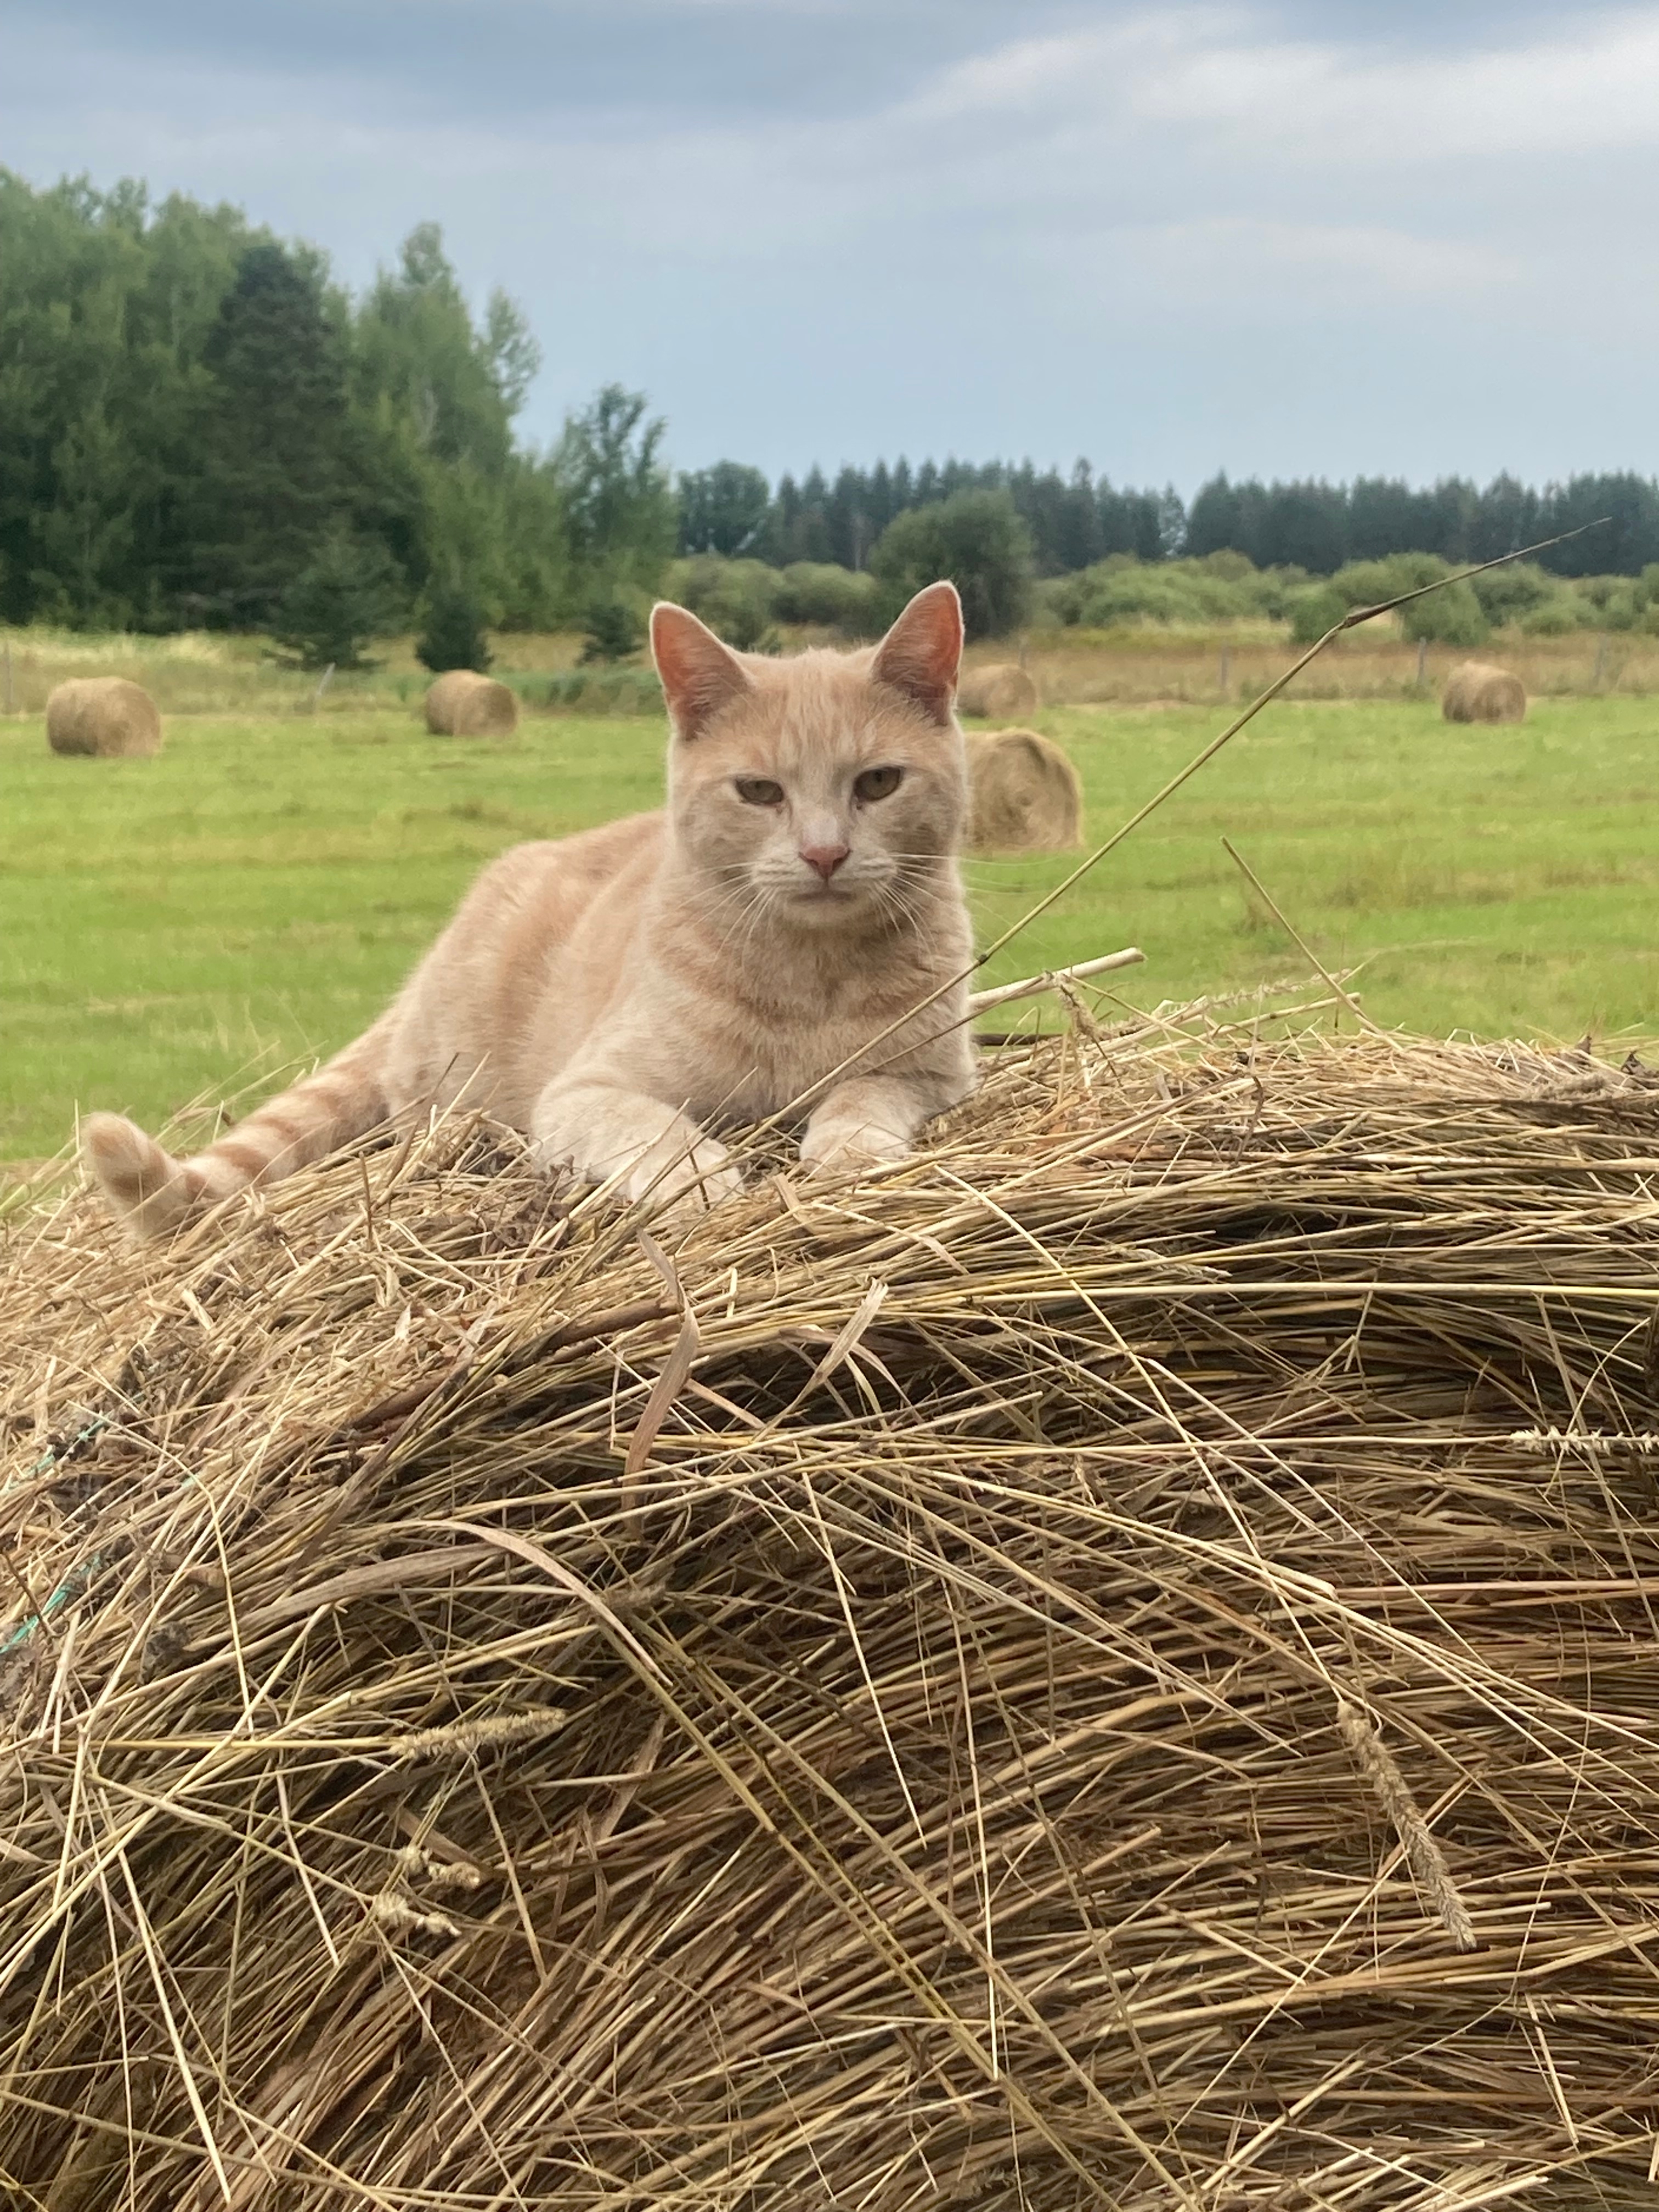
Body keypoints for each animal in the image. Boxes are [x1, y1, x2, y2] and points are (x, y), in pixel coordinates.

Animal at [84, 579, 982, 1238]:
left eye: (878, 783)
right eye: (760, 792)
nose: (825, 854)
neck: (811, 976)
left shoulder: (934, 1076)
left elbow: (863, 1097)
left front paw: (851, 1153)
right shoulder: (585, 1090)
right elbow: (657, 1131)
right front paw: (700, 1178)